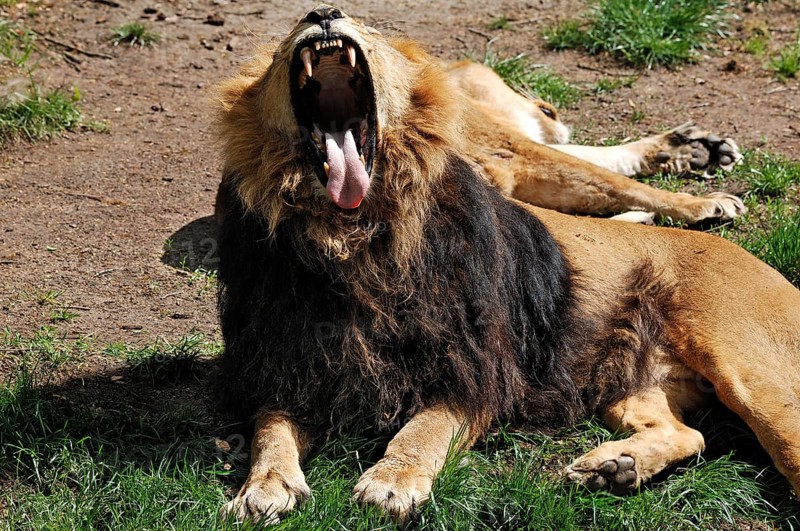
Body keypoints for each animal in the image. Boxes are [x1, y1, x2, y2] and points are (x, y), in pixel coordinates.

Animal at [214, 5, 800, 525]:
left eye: (371, 30)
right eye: (284, 39)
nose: (322, 13)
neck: (355, 243)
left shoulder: (482, 370)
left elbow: (424, 428)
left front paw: (392, 481)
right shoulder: (292, 366)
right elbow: (270, 428)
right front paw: (262, 487)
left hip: (751, 375)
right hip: (629, 383)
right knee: (689, 433)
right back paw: (614, 467)